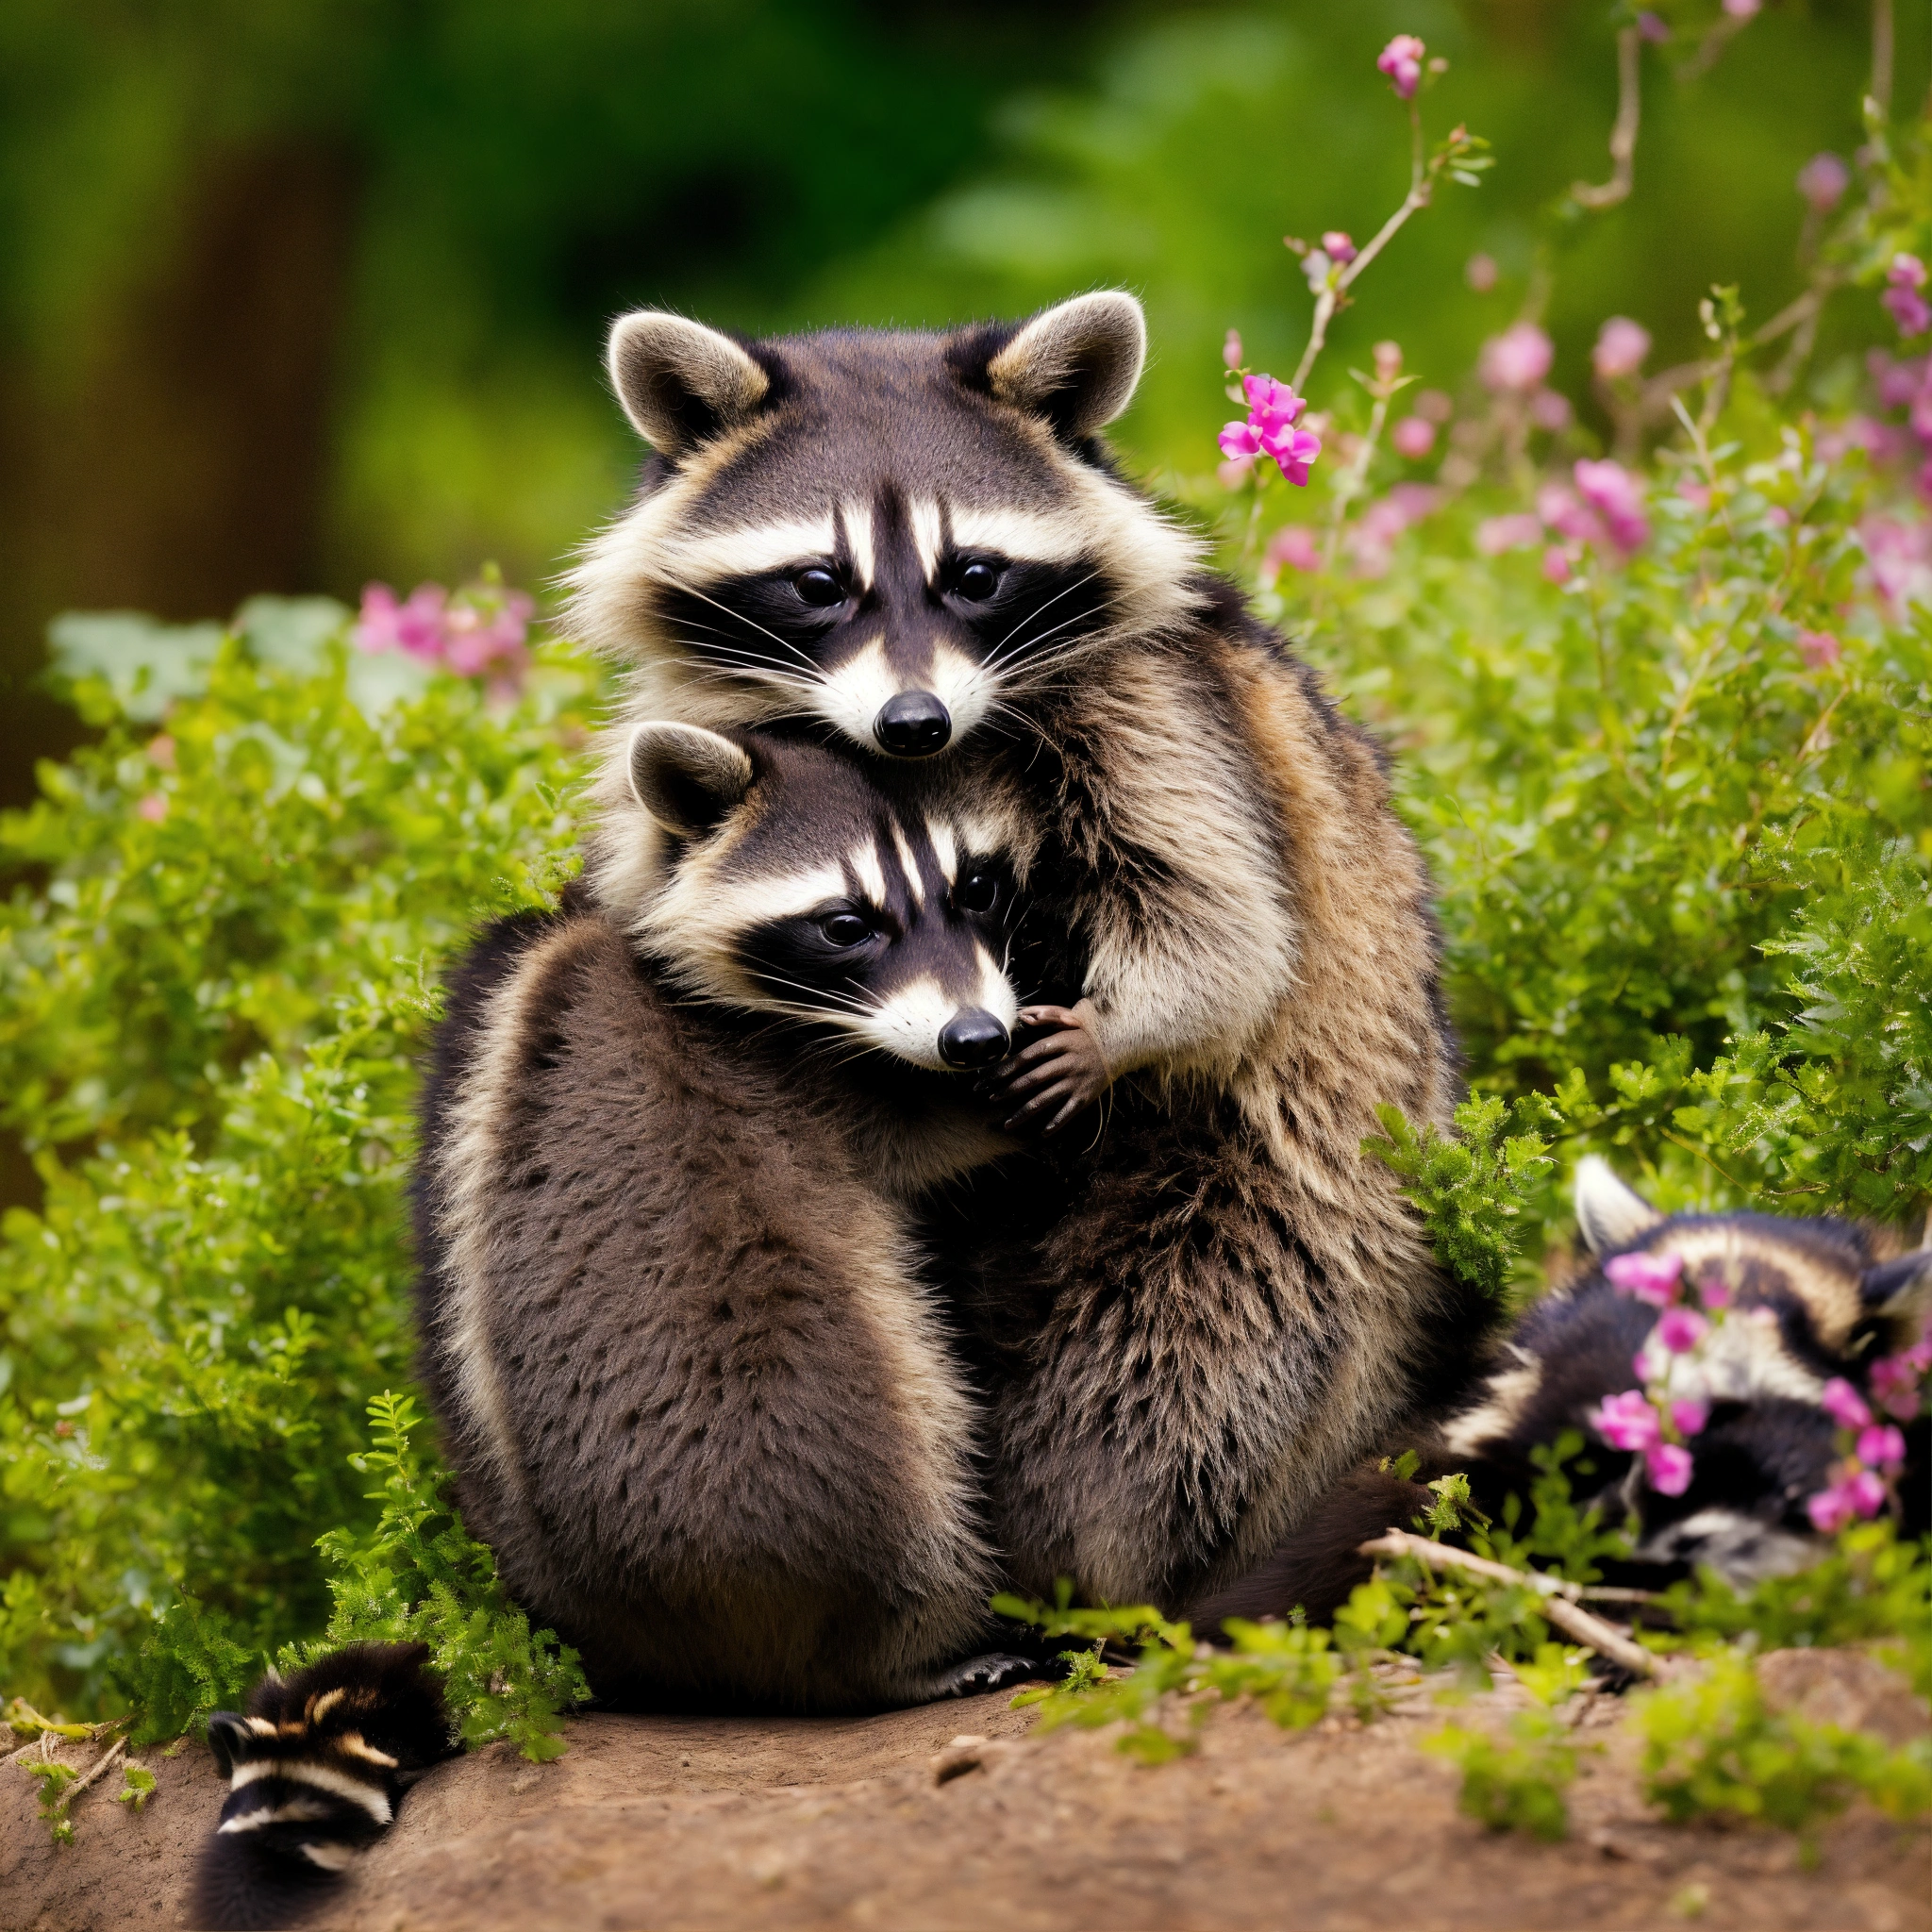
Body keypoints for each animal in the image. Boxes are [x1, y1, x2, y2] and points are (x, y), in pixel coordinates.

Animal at [412, 722, 1043, 1713]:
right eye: (846, 924)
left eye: (976, 887)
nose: (977, 1040)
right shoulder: (789, 1077)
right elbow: (923, 1141)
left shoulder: (491, 970)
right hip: (790, 1438)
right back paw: (910, 1649)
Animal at [565, 291, 1480, 1609]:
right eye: (818, 581)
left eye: (974, 575)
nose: (912, 721)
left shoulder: (1154, 705)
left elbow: (1222, 913)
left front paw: (1120, 1028)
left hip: (1267, 1204)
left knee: (1167, 1371)